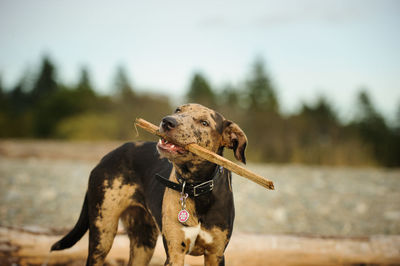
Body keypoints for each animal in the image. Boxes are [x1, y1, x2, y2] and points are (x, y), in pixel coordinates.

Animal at [50, 103, 247, 264]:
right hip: (102, 233)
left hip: (143, 242)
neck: (195, 186)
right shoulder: (175, 252)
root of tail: (105, 157)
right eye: (178, 110)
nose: (167, 121)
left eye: (204, 123)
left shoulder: (216, 254)